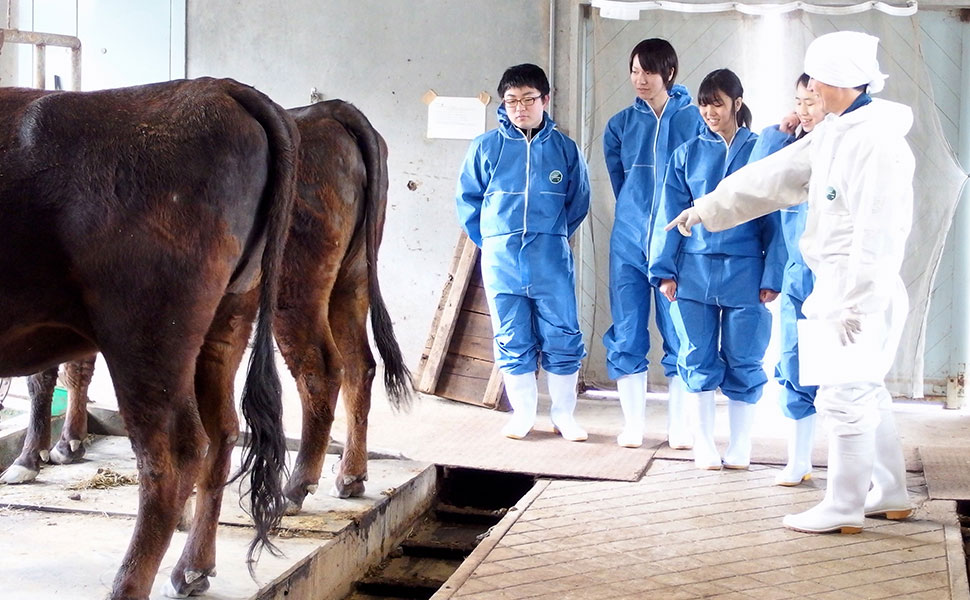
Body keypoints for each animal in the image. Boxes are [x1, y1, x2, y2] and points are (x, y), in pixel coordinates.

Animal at [0, 79, 296, 600]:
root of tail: (220, 89)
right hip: (223, 327)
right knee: (222, 431)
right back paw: (193, 569)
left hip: (144, 340)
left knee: (172, 454)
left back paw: (129, 585)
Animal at [0, 98, 410, 510]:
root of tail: (328, 112)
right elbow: (76, 368)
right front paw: (69, 443)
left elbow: (43, 377)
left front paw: (28, 459)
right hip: (351, 282)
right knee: (360, 365)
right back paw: (350, 476)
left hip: (296, 289)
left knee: (321, 370)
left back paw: (296, 487)